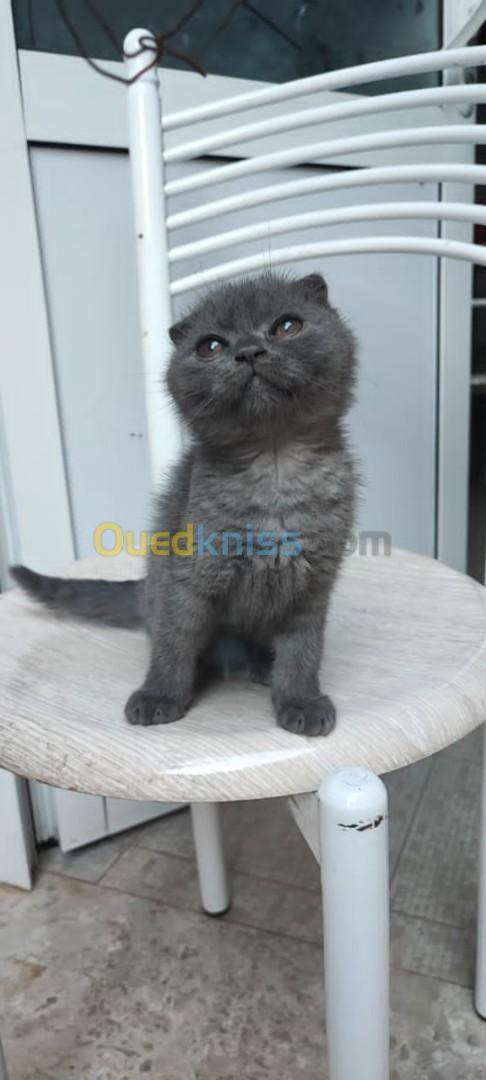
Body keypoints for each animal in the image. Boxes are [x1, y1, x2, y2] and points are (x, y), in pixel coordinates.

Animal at [9, 274, 354, 738]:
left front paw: (301, 700)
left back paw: (263, 665)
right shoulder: (188, 577)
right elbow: (175, 640)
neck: (274, 464)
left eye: (287, 326)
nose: (249, 350)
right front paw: (159, 695)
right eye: (211, 346)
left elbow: (303, 651)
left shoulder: (313, 586)